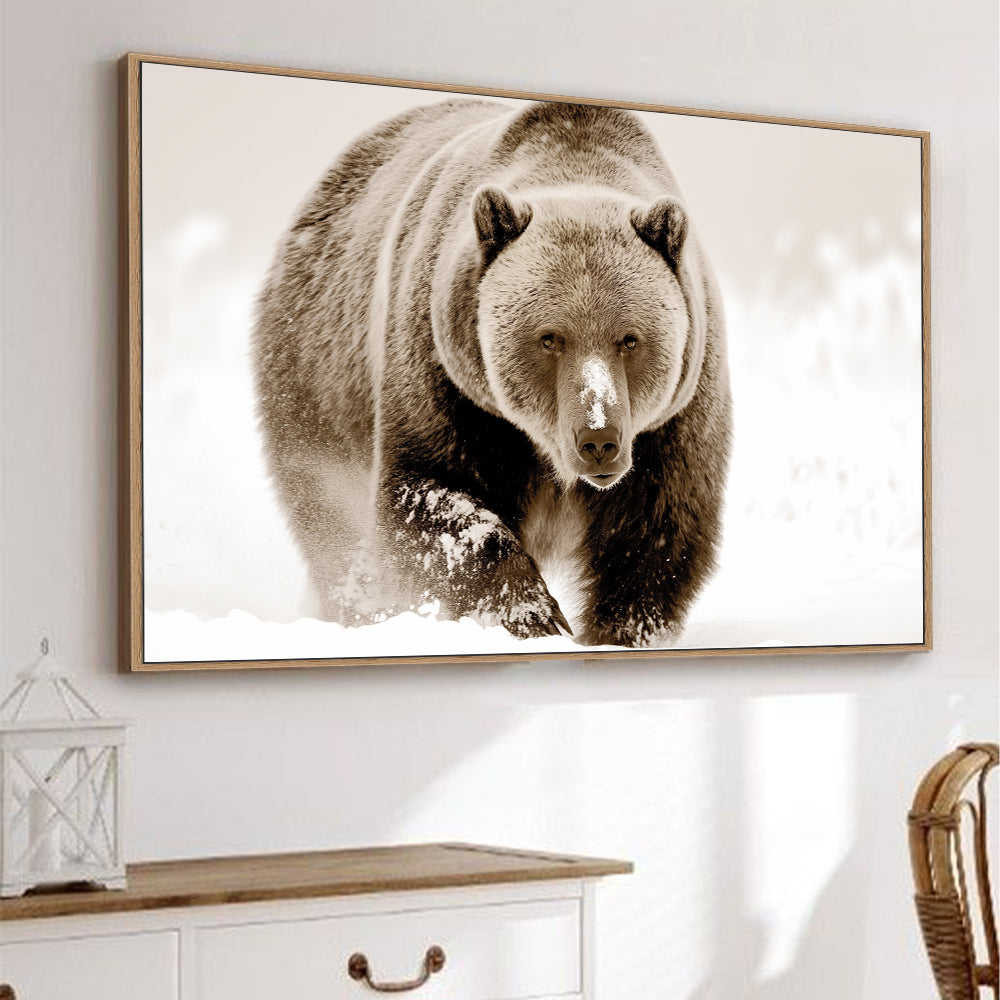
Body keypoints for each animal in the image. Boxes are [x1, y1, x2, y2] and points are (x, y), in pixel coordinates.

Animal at [253, 97, 732, 648]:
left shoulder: (673, 418)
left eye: (629, 339)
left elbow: (657, 531)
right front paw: (535, 615)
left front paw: (620, 630)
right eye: (549, 338)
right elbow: (435, 496)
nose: (599, 440)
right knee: (332, 521)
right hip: (317, 386)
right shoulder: (449, 381)